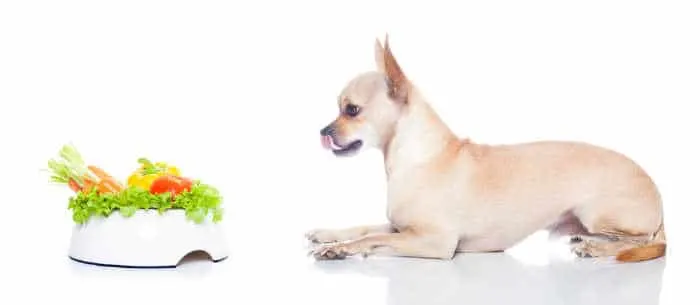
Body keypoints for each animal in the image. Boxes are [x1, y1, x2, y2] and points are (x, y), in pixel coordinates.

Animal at [306, 35, 668, 262]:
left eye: (351, 110)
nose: (322, 132)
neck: (417, 158)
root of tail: (659, 200)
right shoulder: (400, 229)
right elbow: (364, 228)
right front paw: (330, 237)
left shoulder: (433, 242)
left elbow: (371, 239)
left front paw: (347, 248)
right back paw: (585, 240)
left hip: (598, 214)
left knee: (642, 241)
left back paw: (594, 248)